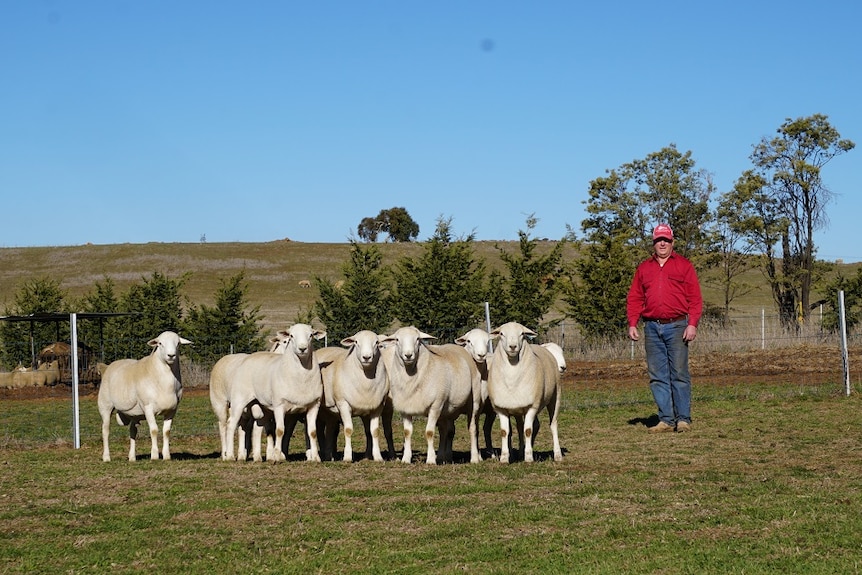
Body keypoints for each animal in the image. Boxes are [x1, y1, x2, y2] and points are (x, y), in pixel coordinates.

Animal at [98, 332, 192, 464]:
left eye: (178, 343)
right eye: (160, 343)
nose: (171, 355)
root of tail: (107, 366)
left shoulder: (172, 410)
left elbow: (167, 431)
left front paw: (167, 456)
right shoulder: (148, 408)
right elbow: (154, 430)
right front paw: (154, 455)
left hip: (133, 414)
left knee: (132, 431)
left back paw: (132, 457)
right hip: (105, 406)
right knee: (105, 430)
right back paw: (106, 457)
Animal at [224, 324, 326, 464]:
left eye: (311, 335)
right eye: (291, 336)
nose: (302, 348)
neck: (301, 378)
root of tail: (249, 357)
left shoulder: (313, 405)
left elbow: (312, 432)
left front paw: (315, 457)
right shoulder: (279, 405)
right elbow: (279, 430)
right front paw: (277, 456)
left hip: (261, 407)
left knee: (257, 427)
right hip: (239, 400)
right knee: (231, 424)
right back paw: (229, 456)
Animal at [318, 330, 392, 462]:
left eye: (377, 342)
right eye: (356, 342)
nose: (366, 357)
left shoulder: (377, 406)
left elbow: (374, 431)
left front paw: (378, 457)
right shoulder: (343, 404)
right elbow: (348, 430)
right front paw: (347, 457)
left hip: (332, 412)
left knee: (330, 429)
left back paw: (329, 456)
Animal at [384, 326, 482, 466]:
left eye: (418, 339)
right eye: (397, 340)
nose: (408, 355)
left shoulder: (435, 405)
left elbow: (429, 432)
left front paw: (430, 460)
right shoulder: (405, 408)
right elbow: (407, 432)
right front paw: (406, 459)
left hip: (473, 402)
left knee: (472, 428)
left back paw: (474, 458)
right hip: (445, 410)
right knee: (444, 431)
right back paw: (441, 457)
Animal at [490, 322, 564, 466]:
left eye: (522, 334)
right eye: (501, 334)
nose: (513, 347)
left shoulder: (532, 406)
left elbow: (528, 431)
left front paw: (529, 457)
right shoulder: (501, 408)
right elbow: (504, 432)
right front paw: (504, 458)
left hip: (555, 397)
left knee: (553, 425)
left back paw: (557, 454)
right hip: (519, 409)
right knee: (525, 426)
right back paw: (520, 452)